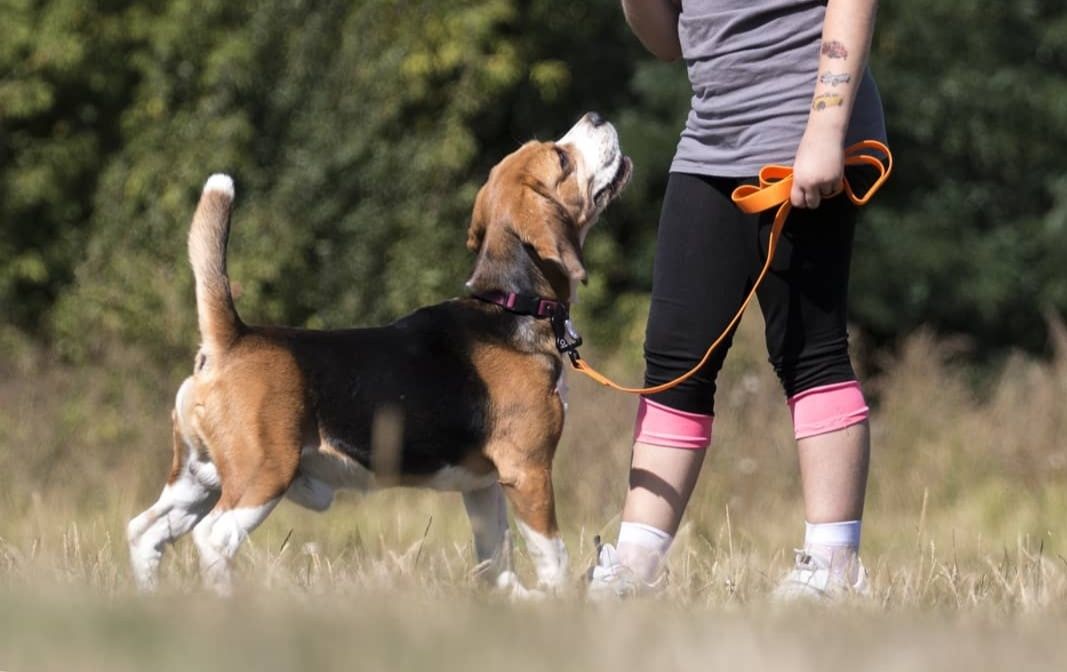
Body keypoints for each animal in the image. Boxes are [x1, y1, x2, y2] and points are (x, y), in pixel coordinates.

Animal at [123, 114, 627, 593]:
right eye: (561, 158)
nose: (596, 116)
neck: (510, 304)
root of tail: (232, 337)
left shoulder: (484, 485)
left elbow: (495, 560)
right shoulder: (528, 471)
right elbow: (552, 555)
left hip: (196, 478)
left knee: (144, 532)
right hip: (261, 475)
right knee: (214, 538)